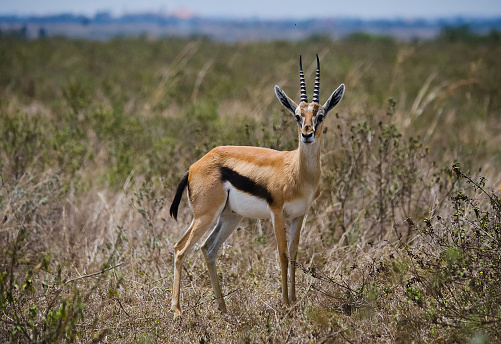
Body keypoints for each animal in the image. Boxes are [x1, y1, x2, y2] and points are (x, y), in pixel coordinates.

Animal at [169, 54, 344, 318]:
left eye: (320, 115)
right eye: (297, 115)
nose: (307, 134)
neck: (296, 171)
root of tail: (194, 166)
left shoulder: (299, 215)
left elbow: (294, 254)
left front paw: (295, 302)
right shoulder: (277, 212)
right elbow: (282, 255)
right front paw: (286, 305)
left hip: (230, 217)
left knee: (208, 249)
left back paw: (223, 308)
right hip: (205, 216)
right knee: (181, 248)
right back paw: (177, 310)